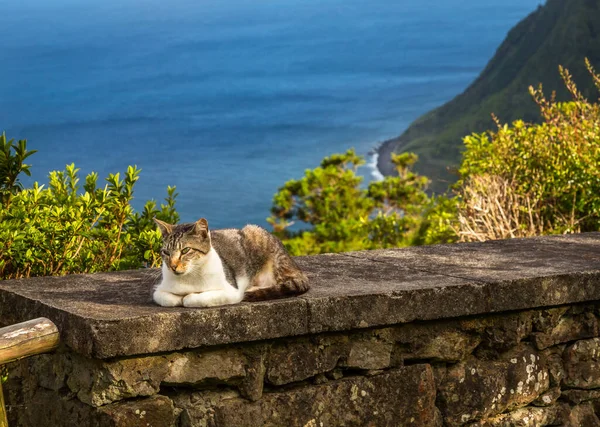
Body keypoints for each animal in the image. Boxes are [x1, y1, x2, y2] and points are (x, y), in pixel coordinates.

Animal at [151, 217, 310, 308]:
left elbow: (191, 299)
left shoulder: (231, 292)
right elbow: (166, 298)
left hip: (257, 234)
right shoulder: (159, 291)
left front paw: (187, 298)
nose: (172, 266)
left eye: (185, 250)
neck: (189, 277)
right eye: (166, 252)